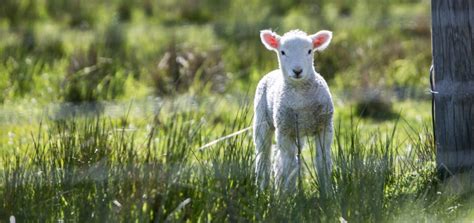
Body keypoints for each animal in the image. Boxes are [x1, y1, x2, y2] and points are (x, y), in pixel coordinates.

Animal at [254, 28, 336, 191]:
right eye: (283, 52)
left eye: (310, 51)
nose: (297, 71)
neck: (300, 99)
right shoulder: (285, 131)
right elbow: (288, 165)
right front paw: (288, 194)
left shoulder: (325, 127)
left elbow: (322, 162)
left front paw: (327, 191)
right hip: (262, 121)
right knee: (265, 158)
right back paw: (263, 189)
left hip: (299, 132)